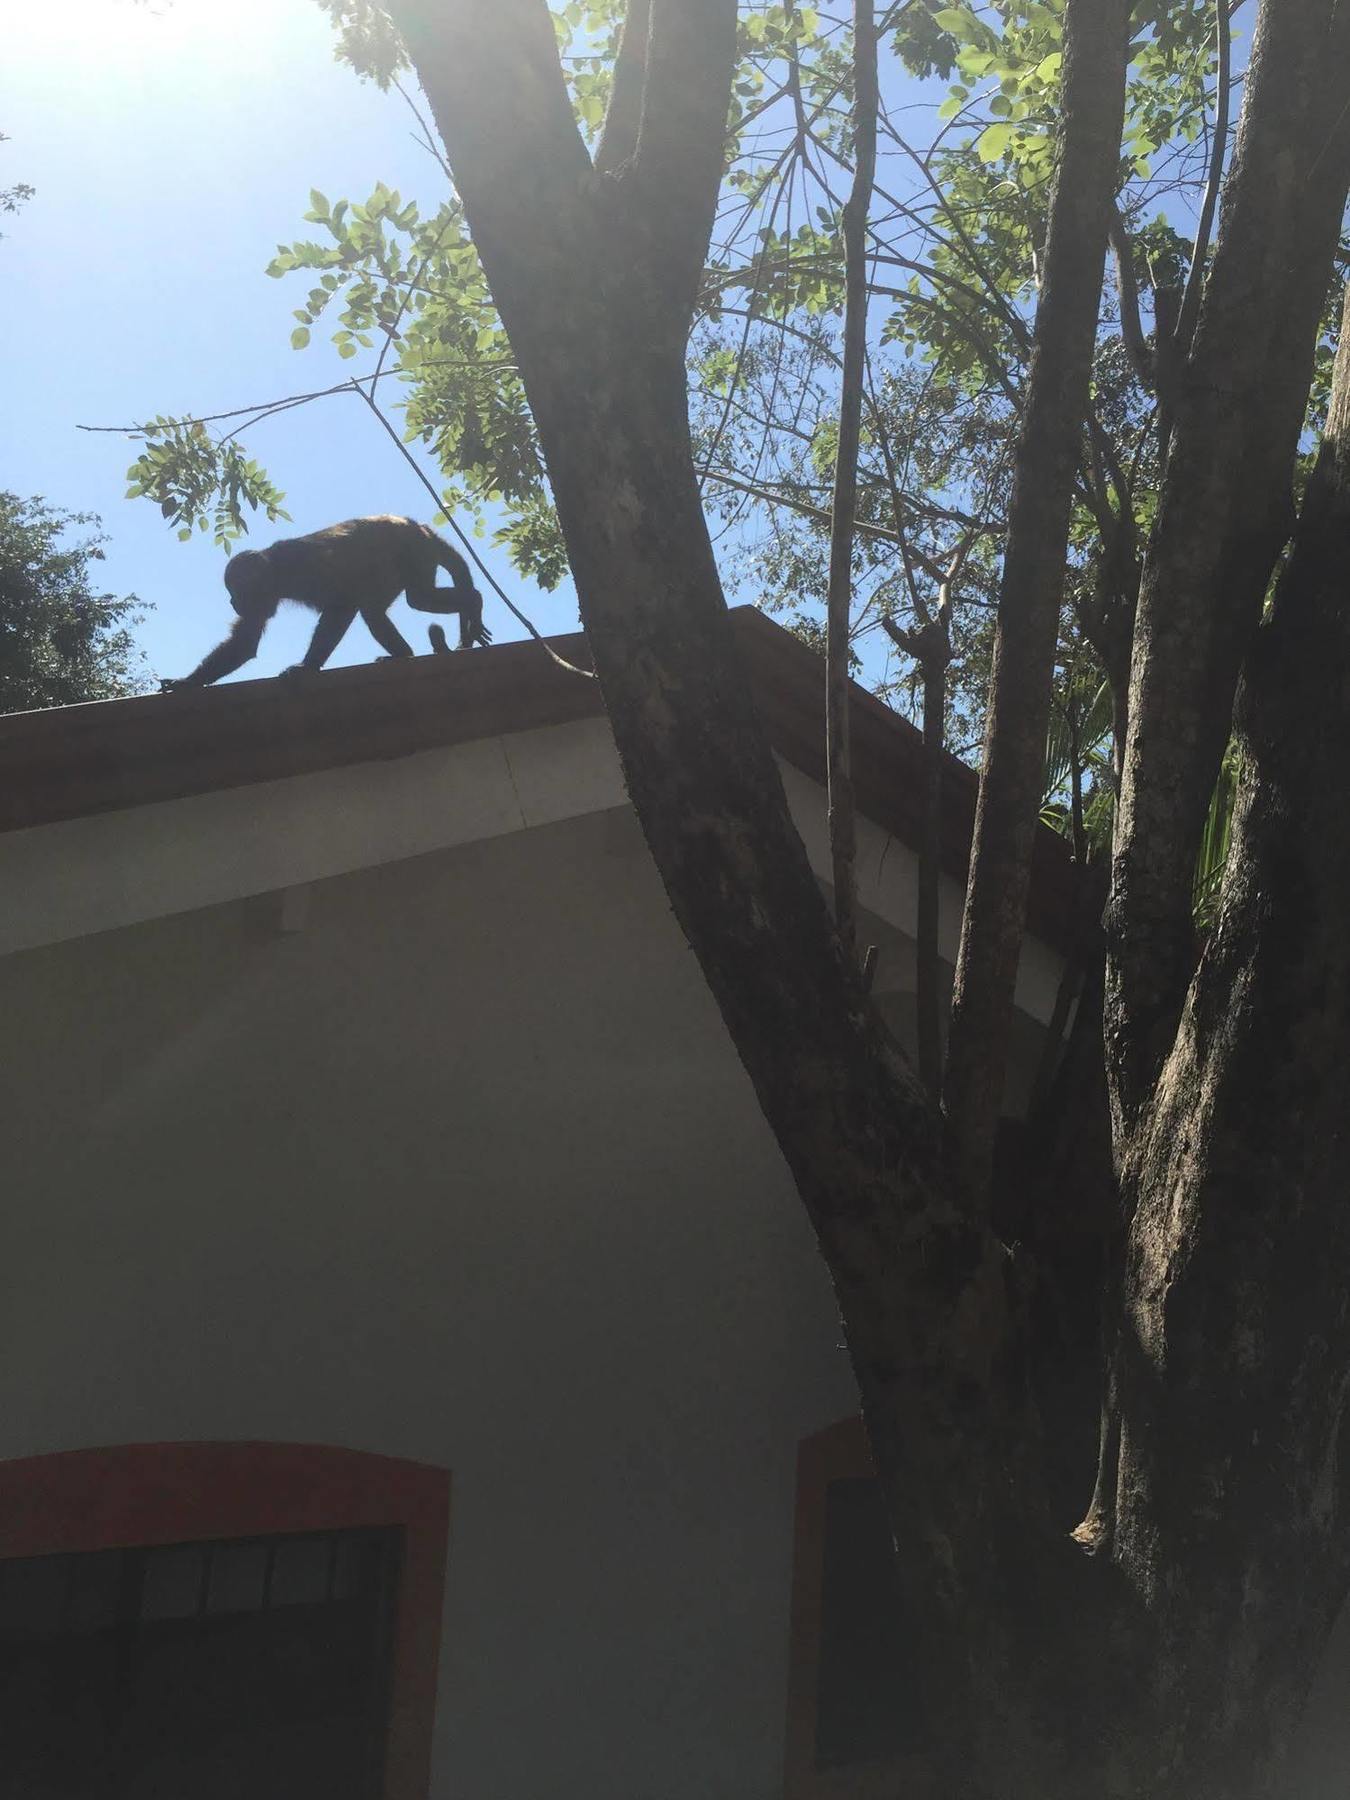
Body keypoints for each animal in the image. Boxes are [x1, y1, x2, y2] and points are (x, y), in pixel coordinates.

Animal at [162, 522, 493, 694]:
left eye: (235, 592)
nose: (233, 603)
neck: (277, 570)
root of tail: (418, 526)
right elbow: (245, 642)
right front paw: (187, 682)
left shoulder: (308, 568)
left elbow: (341, 606)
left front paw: (306, 667)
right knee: (380, 608)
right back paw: (403, 653)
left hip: (414, 551)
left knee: (417, 599)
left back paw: (473, 601)